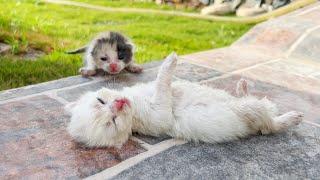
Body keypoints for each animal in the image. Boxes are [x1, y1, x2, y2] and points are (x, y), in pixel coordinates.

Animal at [66, 52, 304, 148]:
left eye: (100, 100)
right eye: (112, 122)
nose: (119, 104)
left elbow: (161, 84)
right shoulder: (161, 116)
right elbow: (163, 84)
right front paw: (169, 63)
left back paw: (242, 86)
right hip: (252, 111)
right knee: (269, 125)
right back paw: (291, 117)